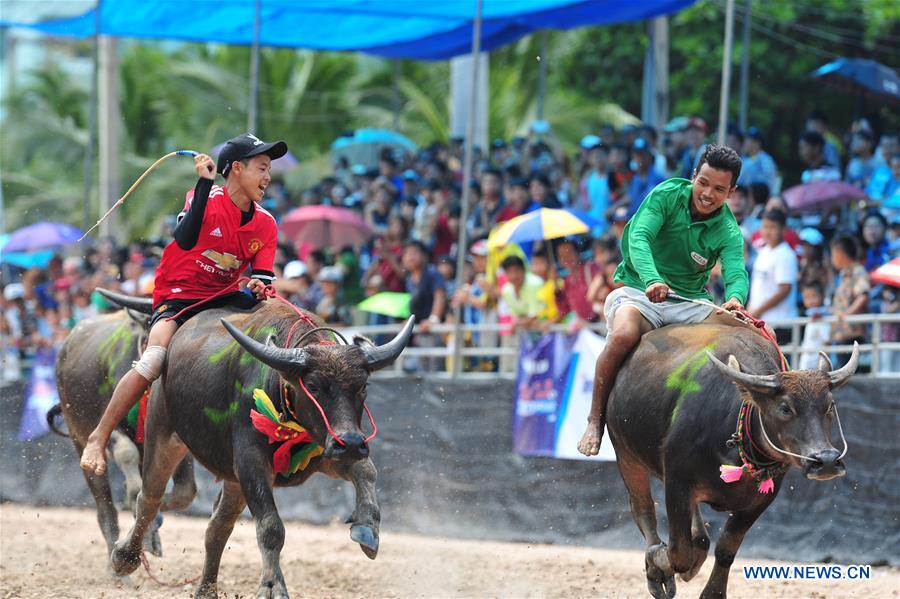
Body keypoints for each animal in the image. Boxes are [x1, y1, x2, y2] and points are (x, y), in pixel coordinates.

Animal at [107, 299, 414, 599]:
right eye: (313, 385)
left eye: (363, 386)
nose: (350, 443)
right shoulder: (251, 463)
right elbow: (270, 527)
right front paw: (272, 586)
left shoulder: (324, 448)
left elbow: (367, 471)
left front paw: (366, 527)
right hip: (163, 435)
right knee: (149, 499)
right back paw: (124, 556)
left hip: (233, 480)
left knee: (216, 528)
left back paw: (205, 591)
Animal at [605, 323, 857, 599]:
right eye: (785, 408)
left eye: (830, 405)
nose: (827, 461)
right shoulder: (676, 484)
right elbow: (678, 553)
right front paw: (658, 562)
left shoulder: (762, 498)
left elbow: (726, 547)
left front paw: (713, 591)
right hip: (627, 456)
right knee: (643, 509)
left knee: (700, 540)